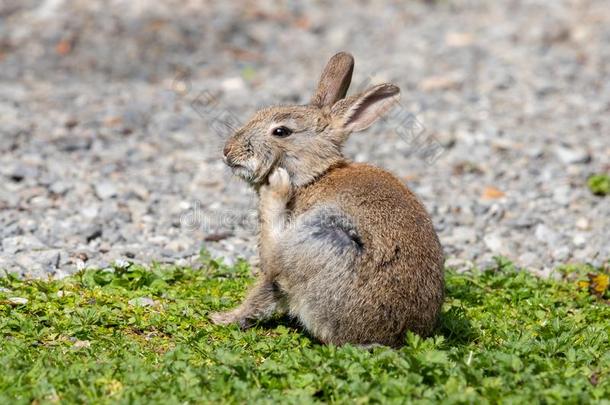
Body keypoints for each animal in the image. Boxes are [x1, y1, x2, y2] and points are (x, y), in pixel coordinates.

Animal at [210, 51, 442, 348]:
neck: (315, 175)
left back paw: (276, 187)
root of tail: (382, 336)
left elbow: (264, 286)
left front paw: (223, 318)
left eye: (281, 132)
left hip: (319, 237)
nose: (228, 151)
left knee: (275, 258)